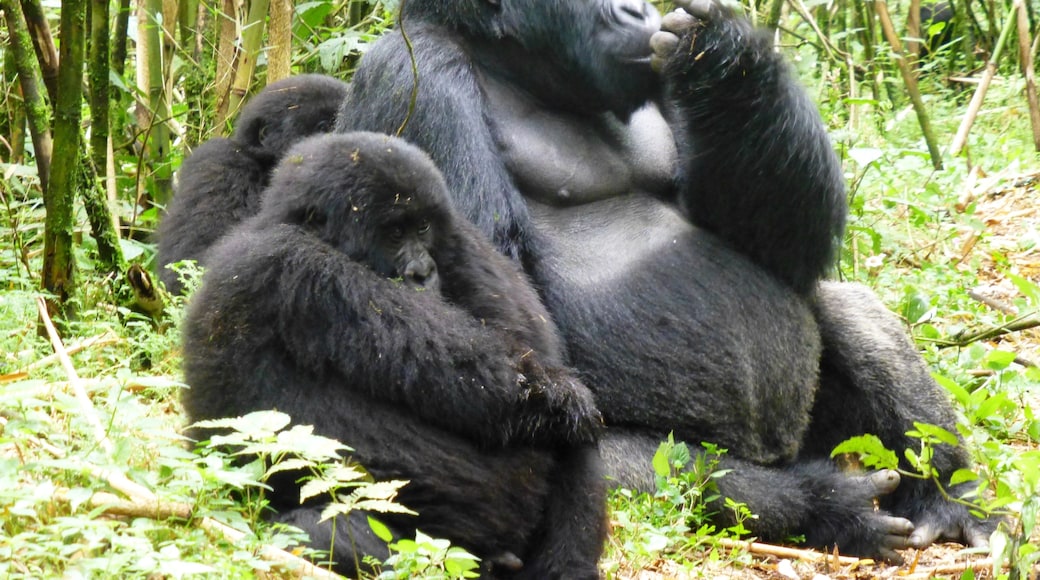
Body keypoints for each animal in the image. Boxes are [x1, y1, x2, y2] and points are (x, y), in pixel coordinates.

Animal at [182, 133, 607, 580]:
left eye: (422, 227)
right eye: (393, 233)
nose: (423, 272)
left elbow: (525, 333)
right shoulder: (294, 264)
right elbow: (484, 380)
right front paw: (558, 395)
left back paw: (566, 568)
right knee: (318, 532)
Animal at [336, 0, 994, 565]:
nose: (637, 9)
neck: (509, 57)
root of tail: (780, 454)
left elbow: (776, 240)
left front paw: (727, 58)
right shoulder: (415, 78)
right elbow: (490, 335)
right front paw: (824, 506)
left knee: (843, 309)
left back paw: (949, 495)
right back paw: (824, 507)